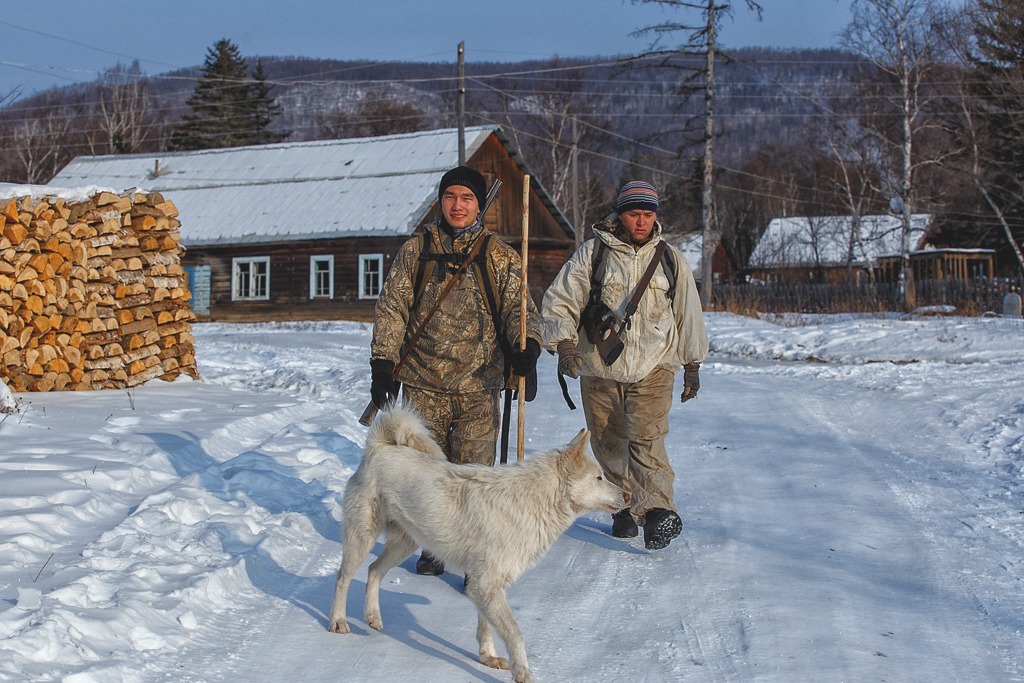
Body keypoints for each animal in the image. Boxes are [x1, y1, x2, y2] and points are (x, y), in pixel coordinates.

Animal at [331, 405, 626, 683]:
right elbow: (515, 634)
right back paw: (338, 622)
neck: (532, 501)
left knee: (373, 571)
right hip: (362, 538)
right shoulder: (485, 585)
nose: (627, 495)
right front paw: (522, 673)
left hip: (405, 544)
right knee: (343, 577)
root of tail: (379, 448)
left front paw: (488, 658)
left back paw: (373, 617)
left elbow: (487, 628)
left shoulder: (484, 586)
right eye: (599, 478)